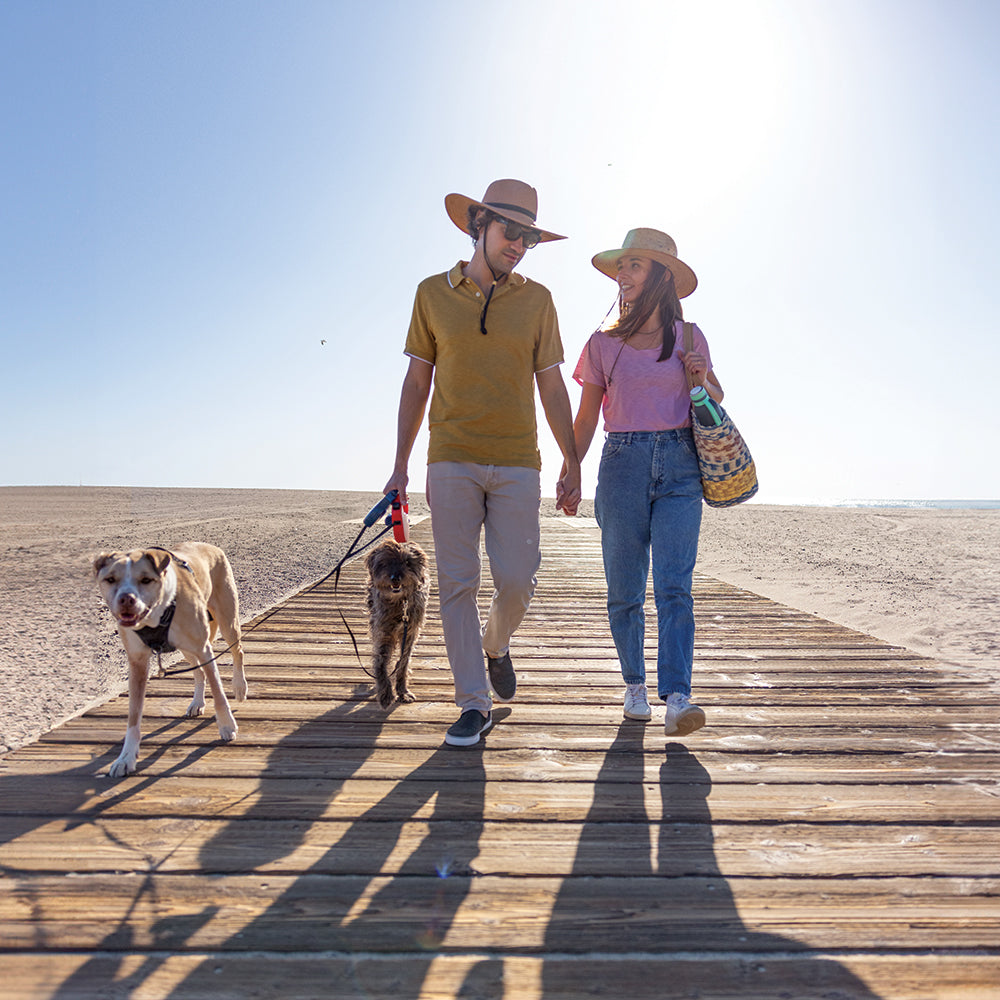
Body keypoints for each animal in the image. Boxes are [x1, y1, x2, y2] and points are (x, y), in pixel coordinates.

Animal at [94, 544, 248, 776]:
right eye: (110, 579)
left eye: (146, 579)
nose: (126, 599)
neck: (156, 615)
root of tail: (210, 546)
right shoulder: (137, 662)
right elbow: (133, 716)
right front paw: (126, 757)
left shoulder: (204, 648)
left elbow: (219, 693)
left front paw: (227, 725)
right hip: (185, 649)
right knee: (198, 672)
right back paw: (197, 702)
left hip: (227, 621)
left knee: (237, 651)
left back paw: (239, 687)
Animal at [366, 540, 432, 712]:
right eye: (385, 562)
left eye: (407, 562)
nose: (395, 578)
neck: (400, 602)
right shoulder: (383, 632)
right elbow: (381, 662)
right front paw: (385, 694)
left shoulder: (410, 632)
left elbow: (403, 661)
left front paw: (403, 691)